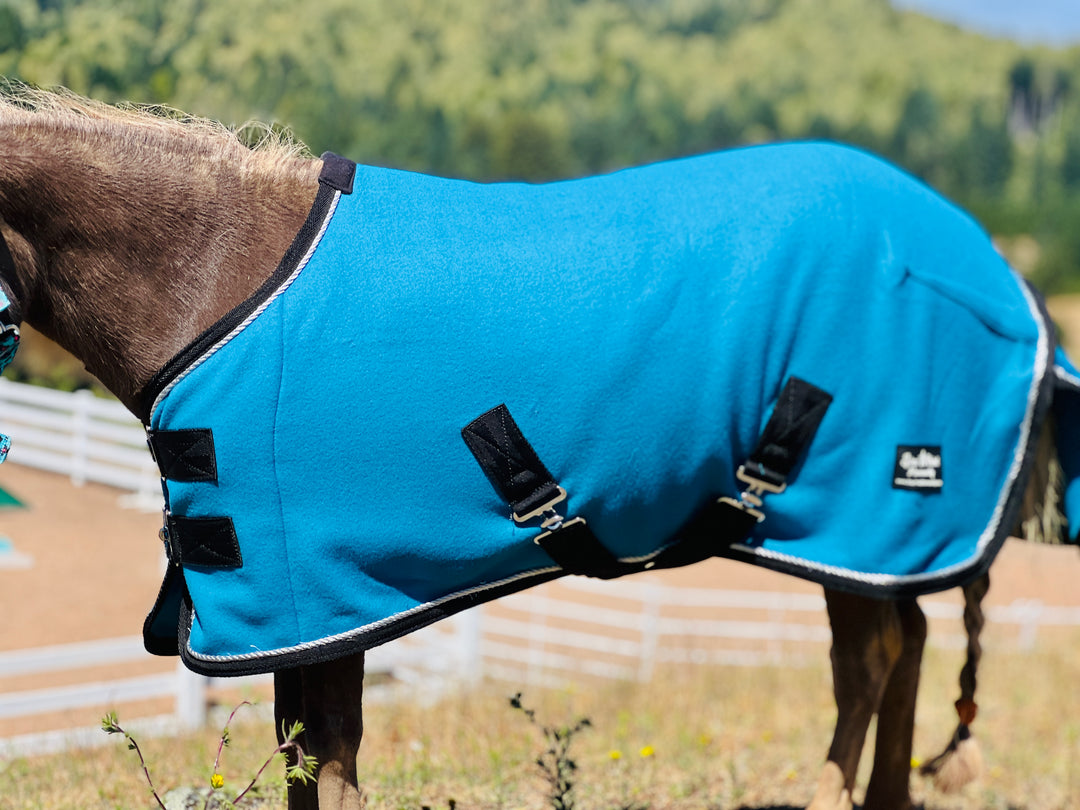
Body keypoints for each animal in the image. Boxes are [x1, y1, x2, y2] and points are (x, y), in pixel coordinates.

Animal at [1, 85, 1075, 810]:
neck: (221, 274)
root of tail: (988, 264)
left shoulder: (323, 594)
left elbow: (329, 758)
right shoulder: (308, 613)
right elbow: (308, 754)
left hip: (859, 517)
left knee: (876, 659)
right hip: (862, 542)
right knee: (905, 645)